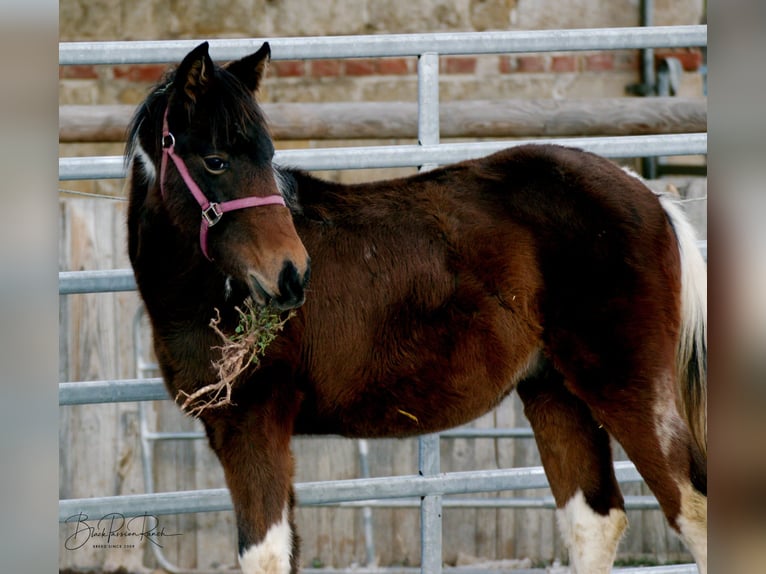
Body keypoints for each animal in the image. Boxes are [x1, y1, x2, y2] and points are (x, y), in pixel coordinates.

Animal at [126, 41, 707, 574]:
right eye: (216, 160)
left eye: (265, 157)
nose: (291, 275)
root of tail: (652, 198)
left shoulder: (254, 422)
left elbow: (263, 556)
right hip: (555, 392)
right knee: (594, 522)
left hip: (628, 389)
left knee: (692, 510)